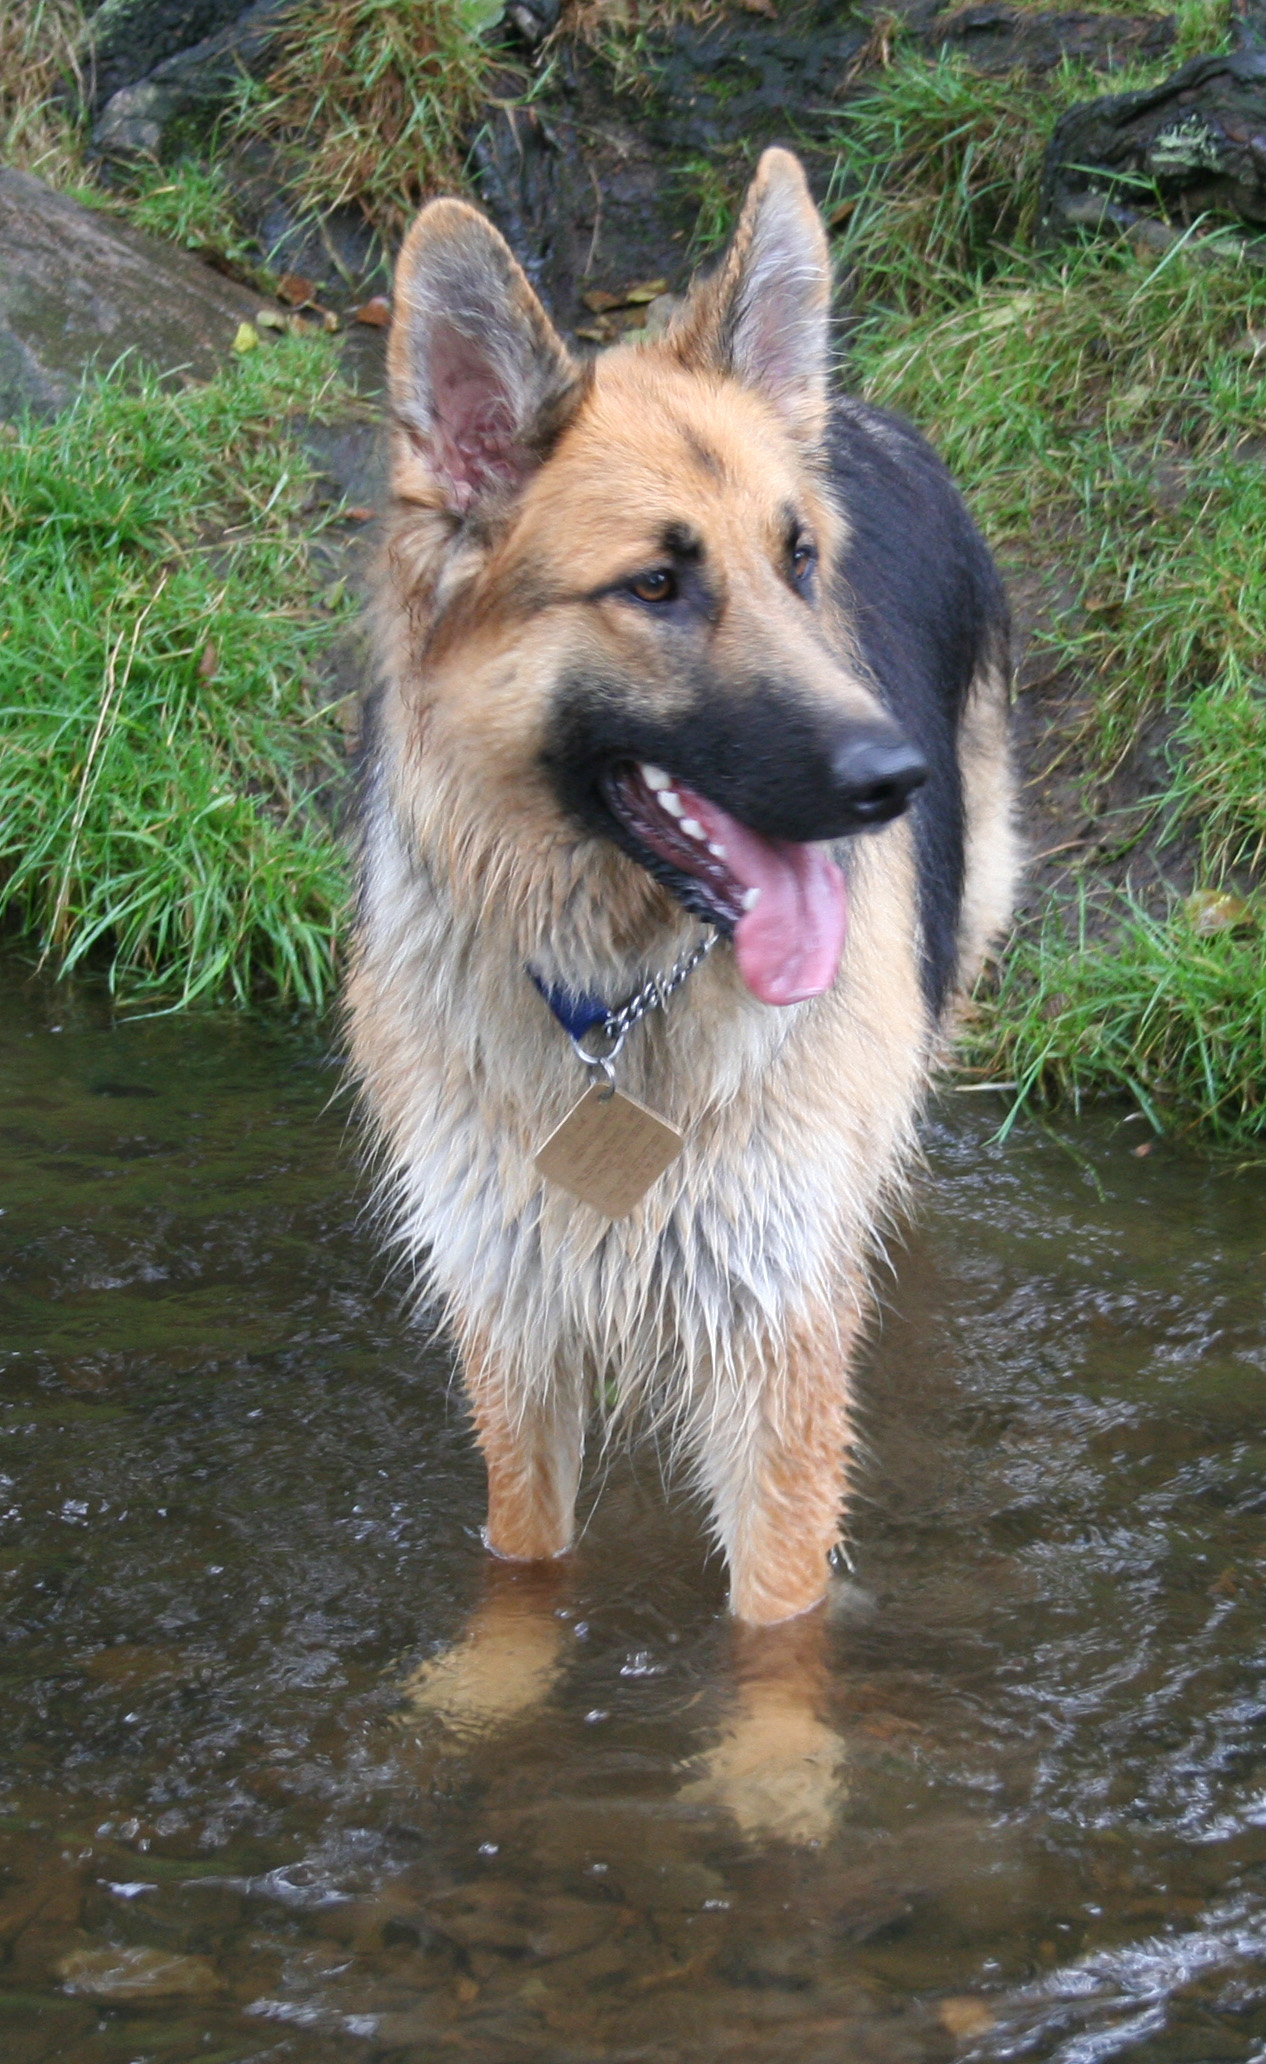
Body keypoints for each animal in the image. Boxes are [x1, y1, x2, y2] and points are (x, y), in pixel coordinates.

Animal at [344, 149, 1016, 1642]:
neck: (616, 1006)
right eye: (654, 585)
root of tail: (860, 409)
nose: (896, 777)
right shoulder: (513, 1330)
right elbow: (521, 1576)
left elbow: (773, 1647)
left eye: (799, 562)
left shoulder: (776, 1353)